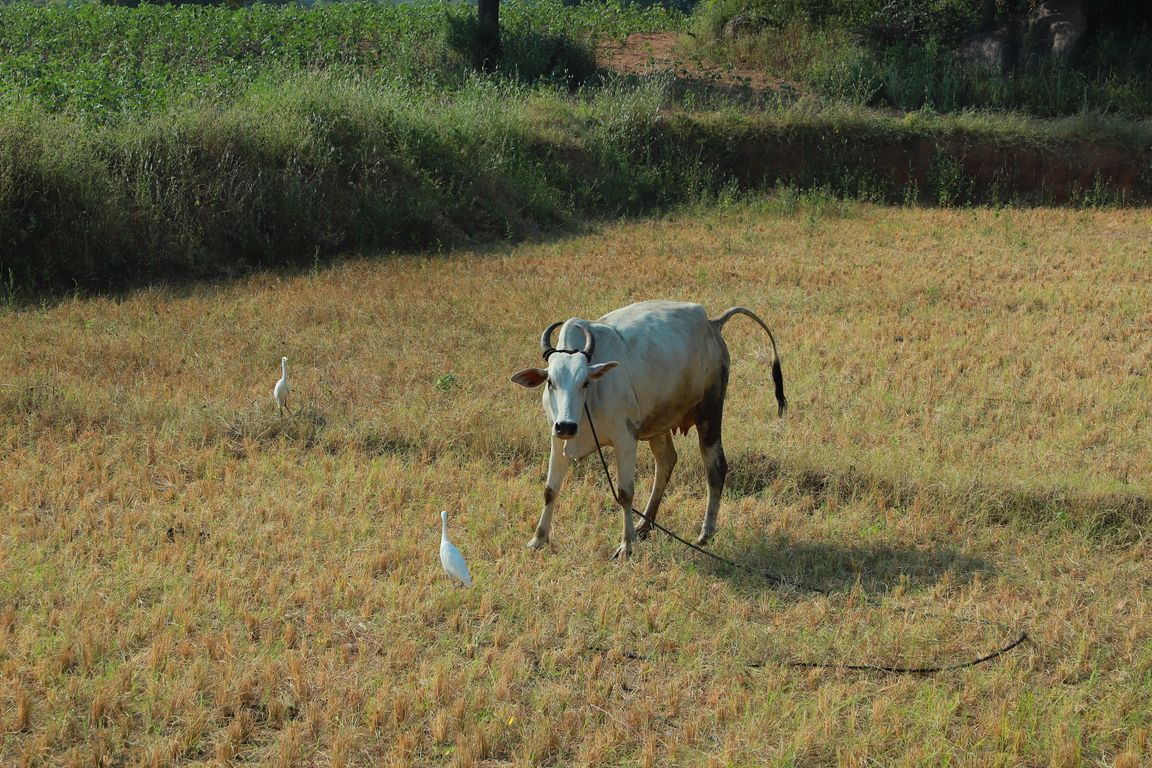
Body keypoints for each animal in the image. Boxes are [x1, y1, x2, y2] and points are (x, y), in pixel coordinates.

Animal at [510, 300, 786, 559]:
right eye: (550, 382)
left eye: (585, 382)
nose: (567, 425)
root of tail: (711, 323)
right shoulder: (557, 439)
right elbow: (550, 490)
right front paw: (538, 540)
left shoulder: (625, 439)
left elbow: (624, 494)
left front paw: (626, 546)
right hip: (659, 424)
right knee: (666, 462)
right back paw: (644, 524)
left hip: (710, 411)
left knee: (715, 468)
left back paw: (704, 534)